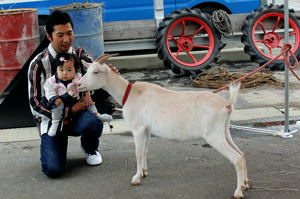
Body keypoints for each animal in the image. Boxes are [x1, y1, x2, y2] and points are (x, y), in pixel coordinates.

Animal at [78, 54, 250, 199]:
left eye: (96, 72)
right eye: (87, 70)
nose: (78, 84)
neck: (130, 93)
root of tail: (227, 104)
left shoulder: (138, 128)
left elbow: (138, 153)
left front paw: (136, 178)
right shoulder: (146, 130)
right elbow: (145, 151)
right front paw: (144, 172)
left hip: (213, 134)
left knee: (236, 158)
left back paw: (238, 192)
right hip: (224, 131)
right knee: (241, 154)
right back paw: (245, 184)